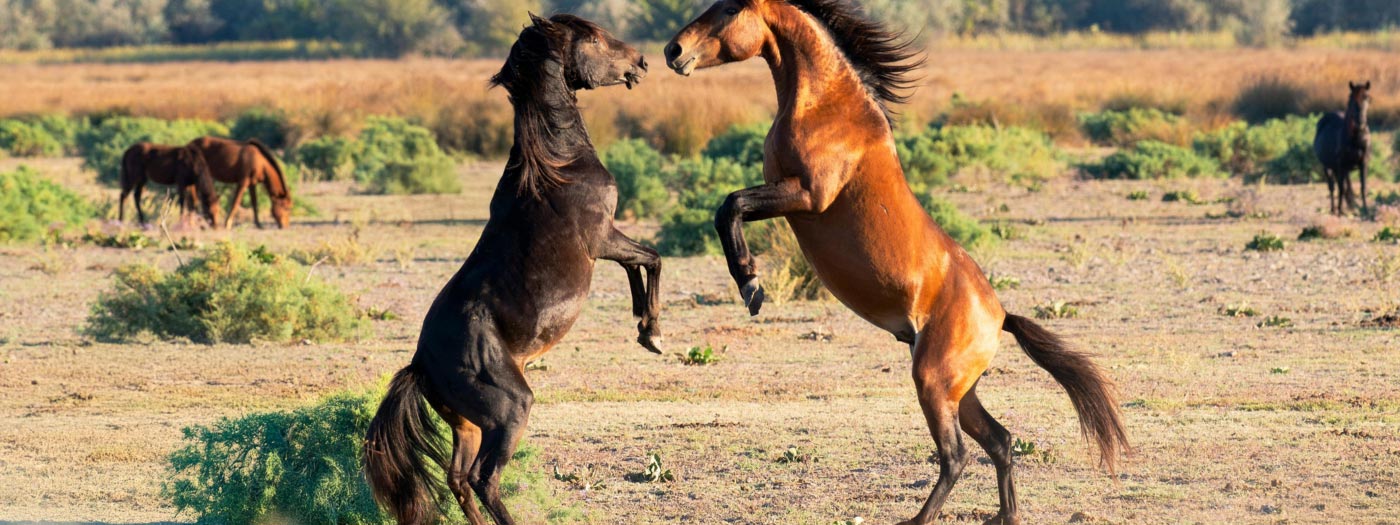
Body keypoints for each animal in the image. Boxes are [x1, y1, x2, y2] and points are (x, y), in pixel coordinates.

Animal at [362, 14, 653, 525]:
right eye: (594, 39)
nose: (640, 62)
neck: (558, 164)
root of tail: (421, 364)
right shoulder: (604, 239)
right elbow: (651, 257)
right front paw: (653, 332)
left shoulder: (609, 243)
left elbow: (639, 268)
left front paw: (642, 325)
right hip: (512, 410)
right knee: (483, 479)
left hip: (467, 425)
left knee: (457, 479)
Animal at [665, 2, 1128, 524]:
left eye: (728, 9)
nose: (673, 51)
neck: (826, 108)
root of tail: (1001, 315)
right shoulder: (789, 196)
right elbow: (729, 207)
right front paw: (749, 283)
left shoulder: (805, 196)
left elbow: (730, 205)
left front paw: (751, 284)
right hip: (960, 391)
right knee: (1001, 441)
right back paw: (1004, 515)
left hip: (933, 382)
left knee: (957, 456)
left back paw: (921, 518)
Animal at [1315, 81, 1372, 216]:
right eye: (1351, 98)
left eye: (1366, 97)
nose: (1360, 122)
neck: (1356, 138)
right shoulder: (1341, 165)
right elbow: (1340, 188)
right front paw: (1340, 211)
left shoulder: (1363, 163)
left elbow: (1363, 187)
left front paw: (1366, 211)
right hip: (1328, 167)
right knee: (1332, 187)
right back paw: (1333, 209)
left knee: (1346, 186)